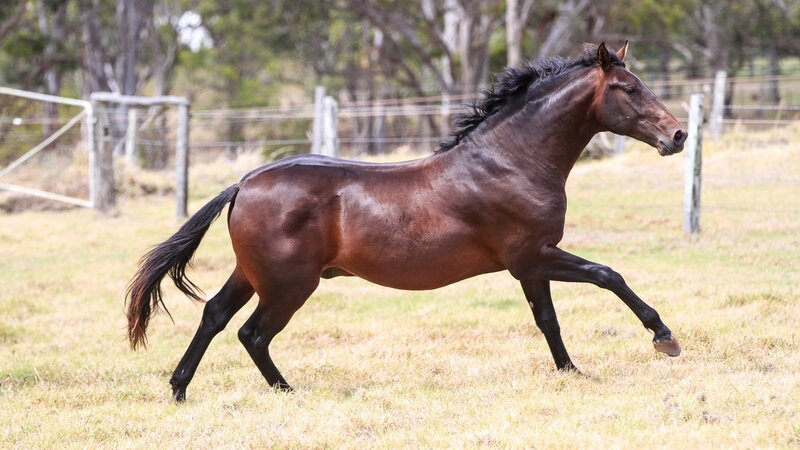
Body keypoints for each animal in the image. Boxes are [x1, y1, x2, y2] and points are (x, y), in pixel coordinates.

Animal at [127, 42, 687, 402]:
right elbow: (607, 274)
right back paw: (288, 391)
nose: (678, 136)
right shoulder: (532, 256)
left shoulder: (530, 266)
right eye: (627, 88)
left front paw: (572, 372)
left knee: (215, 316)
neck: (510, 160)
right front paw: (664, 337)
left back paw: (179, 389)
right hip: (288, 284)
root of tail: (246, 181)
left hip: (252, 274)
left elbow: (547, 319)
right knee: (253, 333)